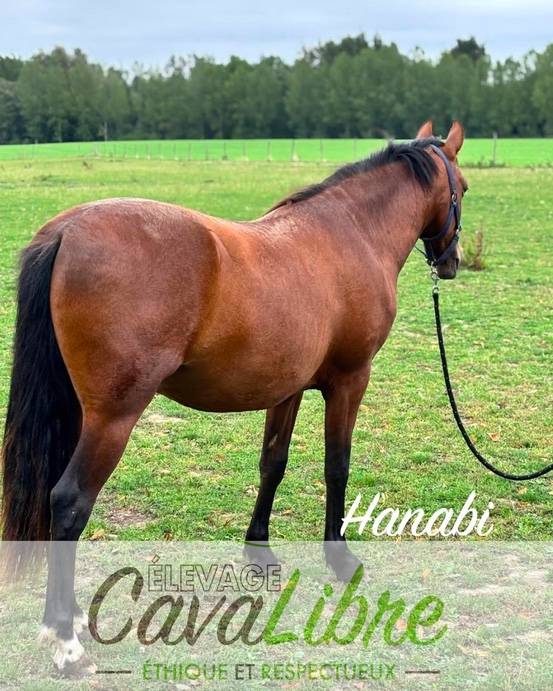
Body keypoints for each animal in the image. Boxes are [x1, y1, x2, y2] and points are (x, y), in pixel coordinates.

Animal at [1, 120, 467, 674]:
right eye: (463, 188)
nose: (453, 262)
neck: (351, 233)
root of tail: (67, 231)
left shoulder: (287, 390)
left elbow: (273, 464)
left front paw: (259, 551)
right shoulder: (351, 381)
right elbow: (337, 466)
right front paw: (341, 558)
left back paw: (66, 617)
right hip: (112, 418)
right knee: (70, 503)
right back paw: (66, 639)